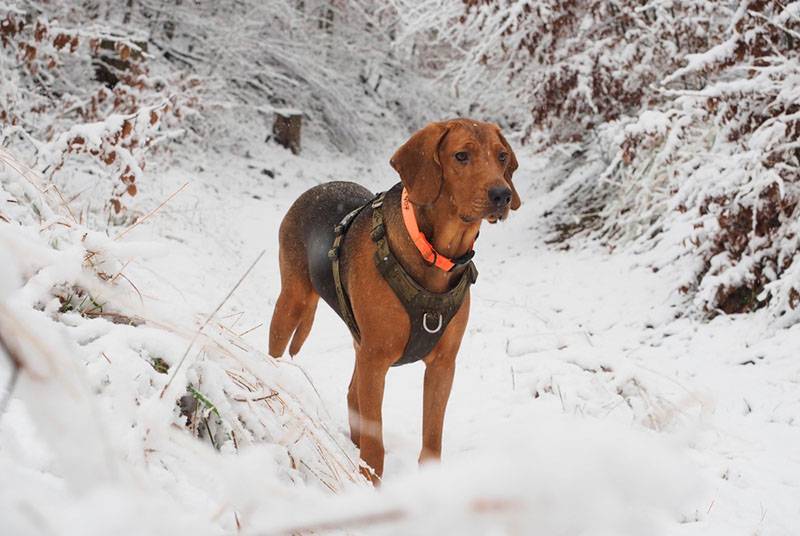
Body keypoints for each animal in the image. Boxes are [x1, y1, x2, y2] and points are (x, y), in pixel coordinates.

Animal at [268, 119, 520, 484]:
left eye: (502, 157)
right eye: (461, 156)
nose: (502, 195)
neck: (434, 255)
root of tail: (317, 188)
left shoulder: (443, 365)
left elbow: (431, 439)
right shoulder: (376, 359)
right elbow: (375, 444)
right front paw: (370, 483)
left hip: (358, 339)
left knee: (352, 393)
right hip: (293, 302)